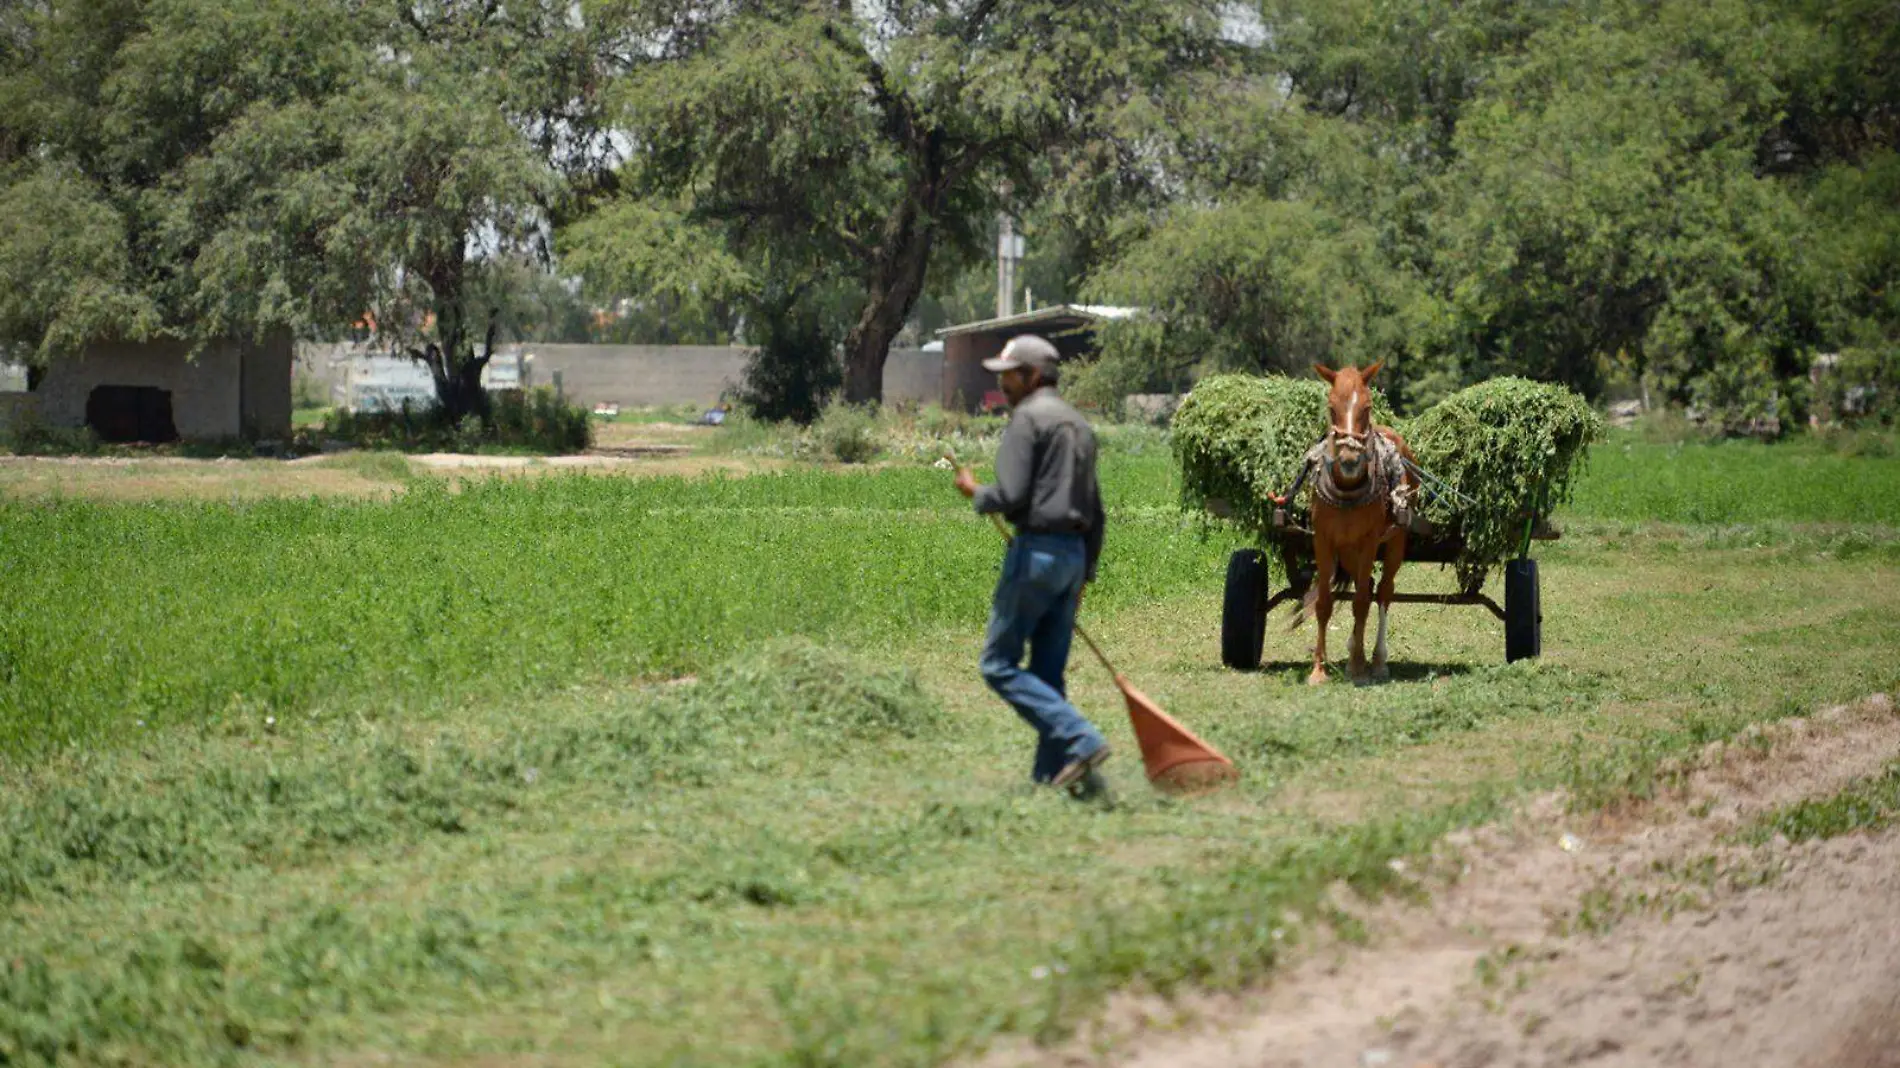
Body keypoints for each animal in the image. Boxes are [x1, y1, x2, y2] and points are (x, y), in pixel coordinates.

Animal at [1299, 361, 1421, 680]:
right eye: (1331, 407)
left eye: (1367, 407)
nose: (1350, 460)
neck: (1347, 490)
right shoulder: (1324, 540)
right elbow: (1324, 603)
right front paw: (1319, 668)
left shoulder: (1368, 542)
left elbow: (1363, 602)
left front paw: (1357, 667)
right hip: (1348, 550)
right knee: (1365, 583)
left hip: (1395, 541)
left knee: (1383, 592)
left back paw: (1376, 660)